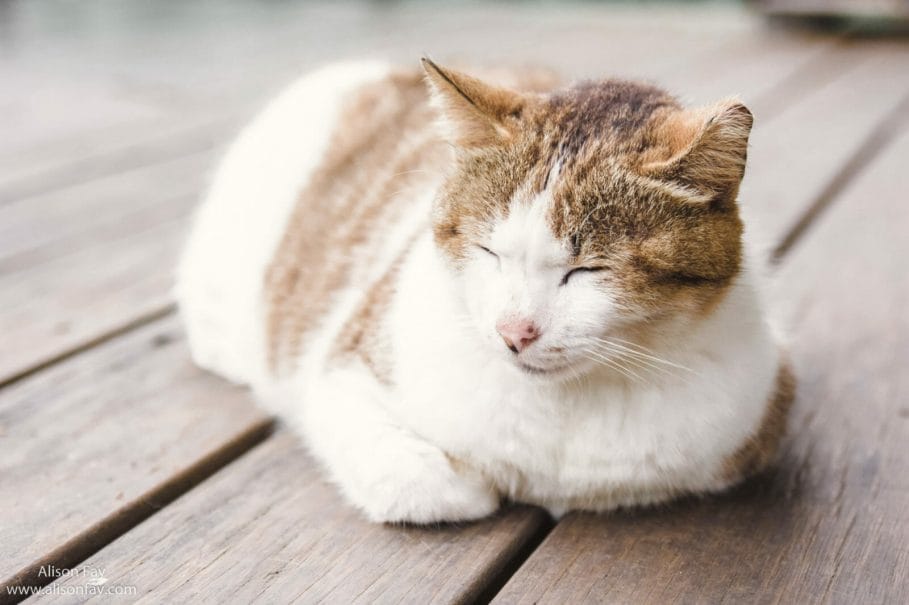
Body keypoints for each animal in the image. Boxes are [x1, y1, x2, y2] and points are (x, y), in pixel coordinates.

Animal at [174, 60, 792, 524]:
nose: (514, 331)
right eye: (490, 252)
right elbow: (433, 485)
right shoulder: (340, 379)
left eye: (588, 270)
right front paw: (481, 481)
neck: (563, 411)